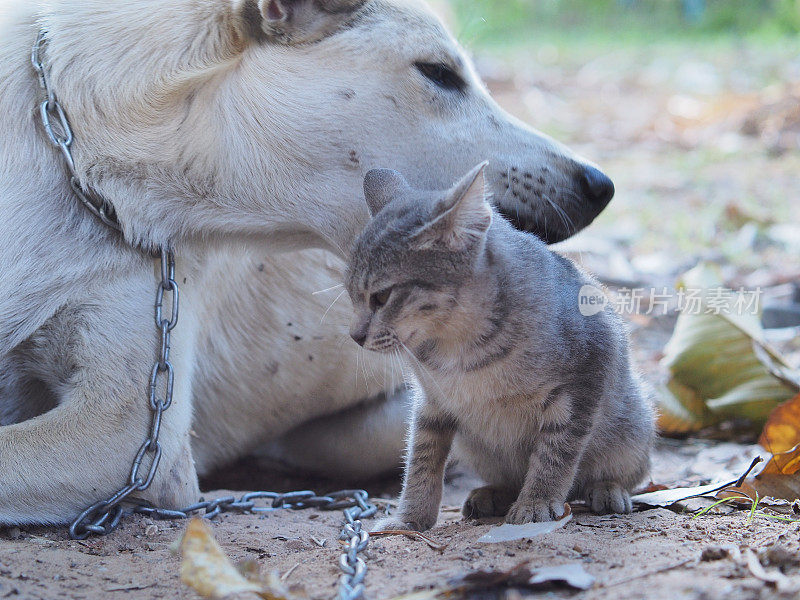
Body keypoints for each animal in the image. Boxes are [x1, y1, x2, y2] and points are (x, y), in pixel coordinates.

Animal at [346, 164, 652, 528]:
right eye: (351, 296)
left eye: (381, 297)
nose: (354, 335)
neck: (456, 348)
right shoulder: (432, 401)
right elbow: (421, 460)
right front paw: (409, 518)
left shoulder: (586, 375)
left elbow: (555, 453)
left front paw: (537, 501)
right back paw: (493, 494)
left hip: (633, 428)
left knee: (623, 471)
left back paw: (606, 488)